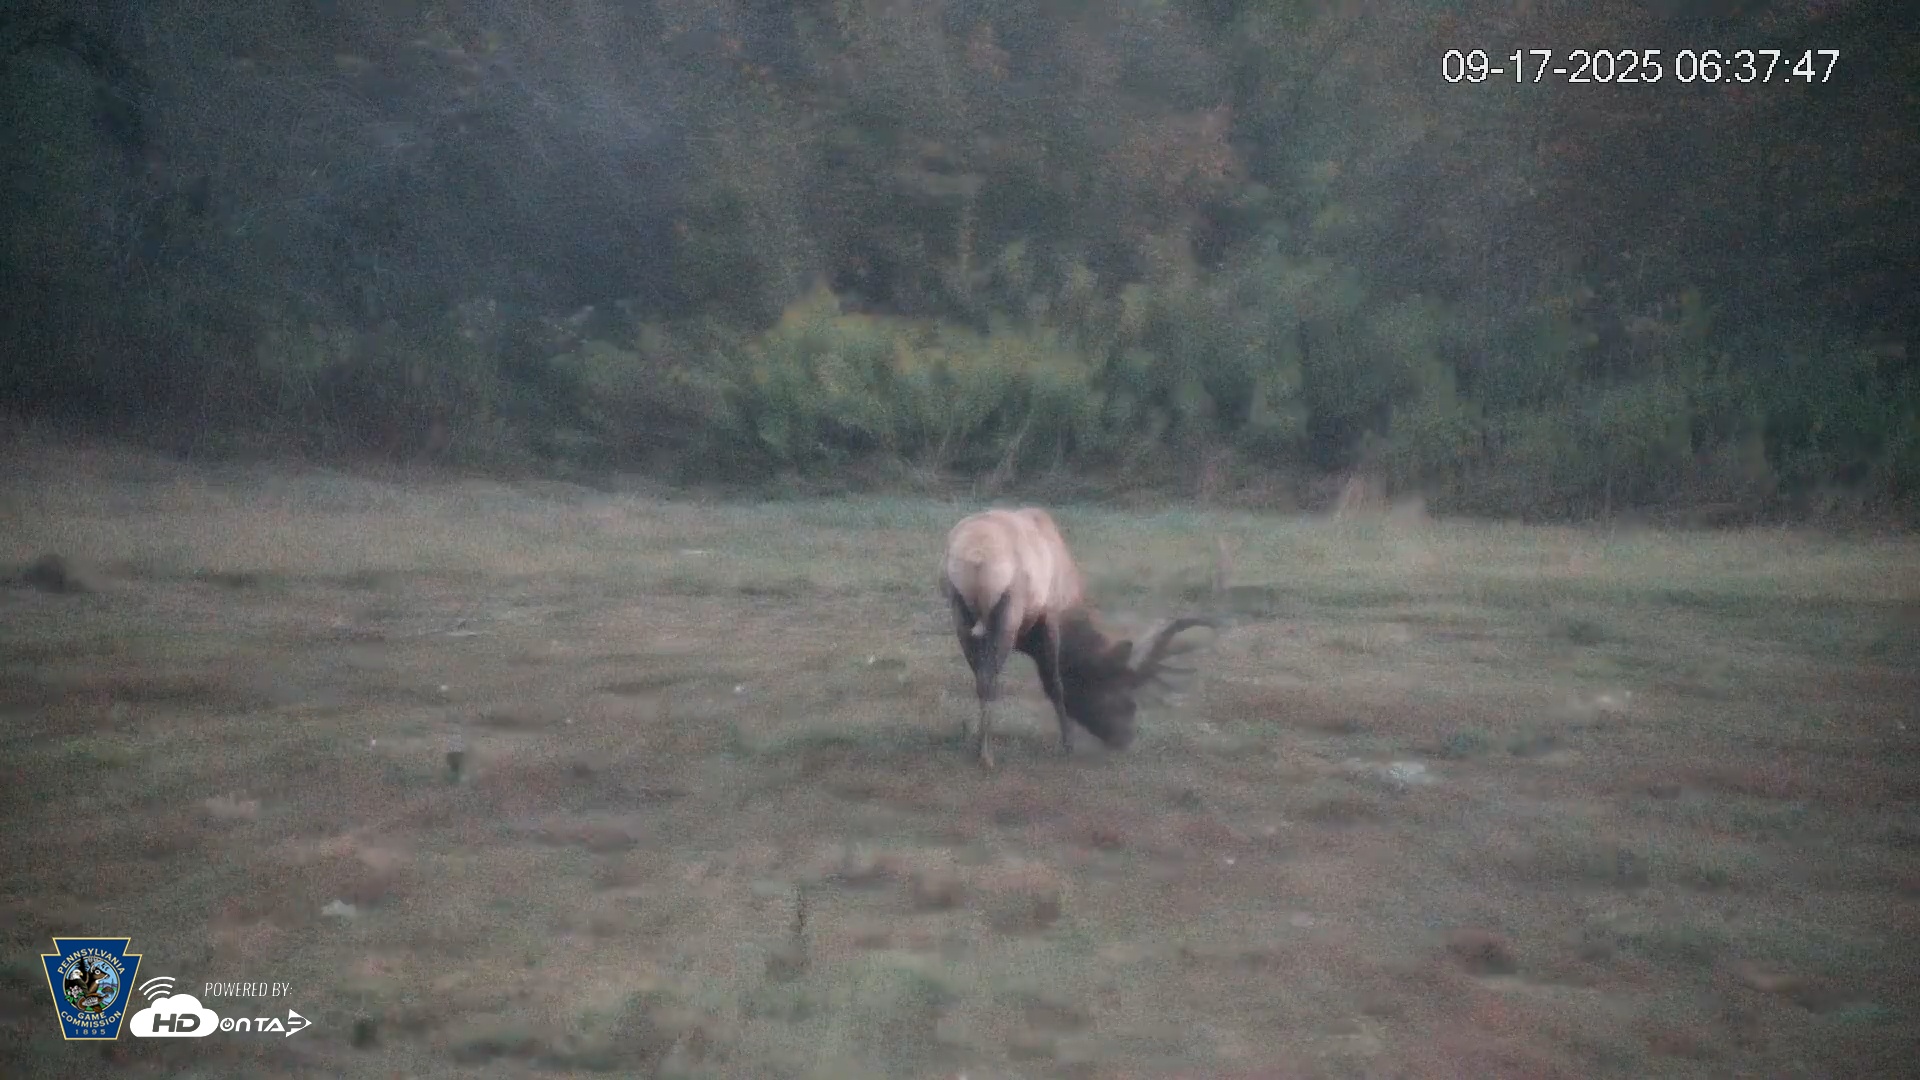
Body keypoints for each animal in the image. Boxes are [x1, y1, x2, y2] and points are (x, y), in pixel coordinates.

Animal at [940, 507, 1215, 767]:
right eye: (1125, 697)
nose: (1125, 739)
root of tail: (976, 559)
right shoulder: (1050, 616)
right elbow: (1055, 683)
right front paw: (1068, 743)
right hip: (1008, 611)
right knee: (990, 680)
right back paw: (986, 757)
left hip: (959, 612)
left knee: (981, 679)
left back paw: (978, 748)